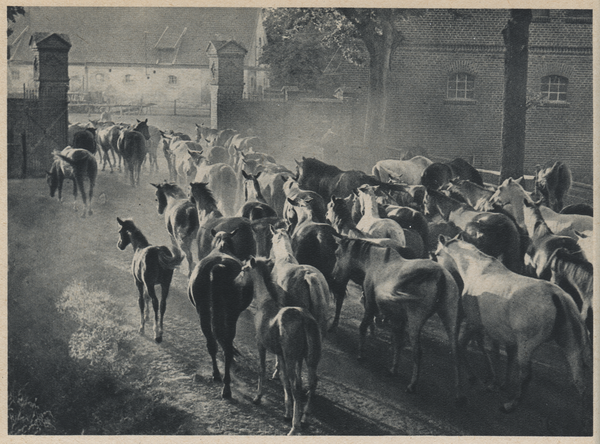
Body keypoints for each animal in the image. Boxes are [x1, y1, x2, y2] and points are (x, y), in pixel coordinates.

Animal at [188, 231, 253, 398]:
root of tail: (218, 267)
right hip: (231, 315)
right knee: (227, 349)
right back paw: (226, 387)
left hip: (203, 314)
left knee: (212, 344)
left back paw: (216, 374)